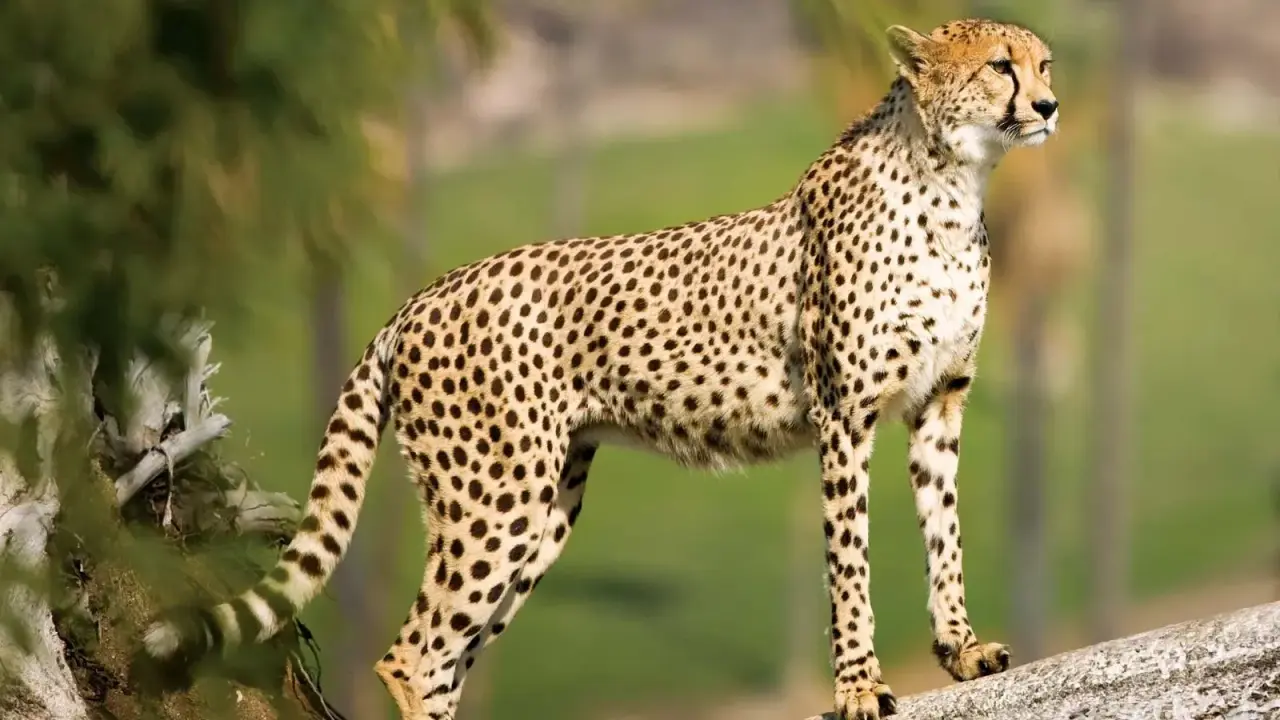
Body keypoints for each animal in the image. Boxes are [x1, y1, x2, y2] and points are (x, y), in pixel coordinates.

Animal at [135, 17, 1059, 720]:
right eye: (999, 66)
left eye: (1043, 62)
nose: (1050, 104)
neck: (952, 182)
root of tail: (421, 295)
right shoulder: (844, 417)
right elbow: (850, 562)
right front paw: (862, 688)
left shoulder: (939, 405)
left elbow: (944, 534)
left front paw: (961, 649)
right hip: (494, 501)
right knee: (413, 654)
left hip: (542, 509)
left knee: (445, 655)